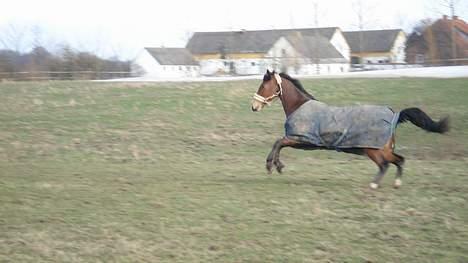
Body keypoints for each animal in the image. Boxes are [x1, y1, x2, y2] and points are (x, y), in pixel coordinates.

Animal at [252, 70, 450, 190]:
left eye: (263, 86)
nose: (254, 107)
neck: (299, 106)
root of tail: (395, 115)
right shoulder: (301, 141)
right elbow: (279, 143)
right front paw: (277, 165)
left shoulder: (302, 140)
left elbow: (278, 142)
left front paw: (272, 165)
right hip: (383, 150)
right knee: (399, 160)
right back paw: (396, 183)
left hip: (373, 150)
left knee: (385, 165)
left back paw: (374, 185)